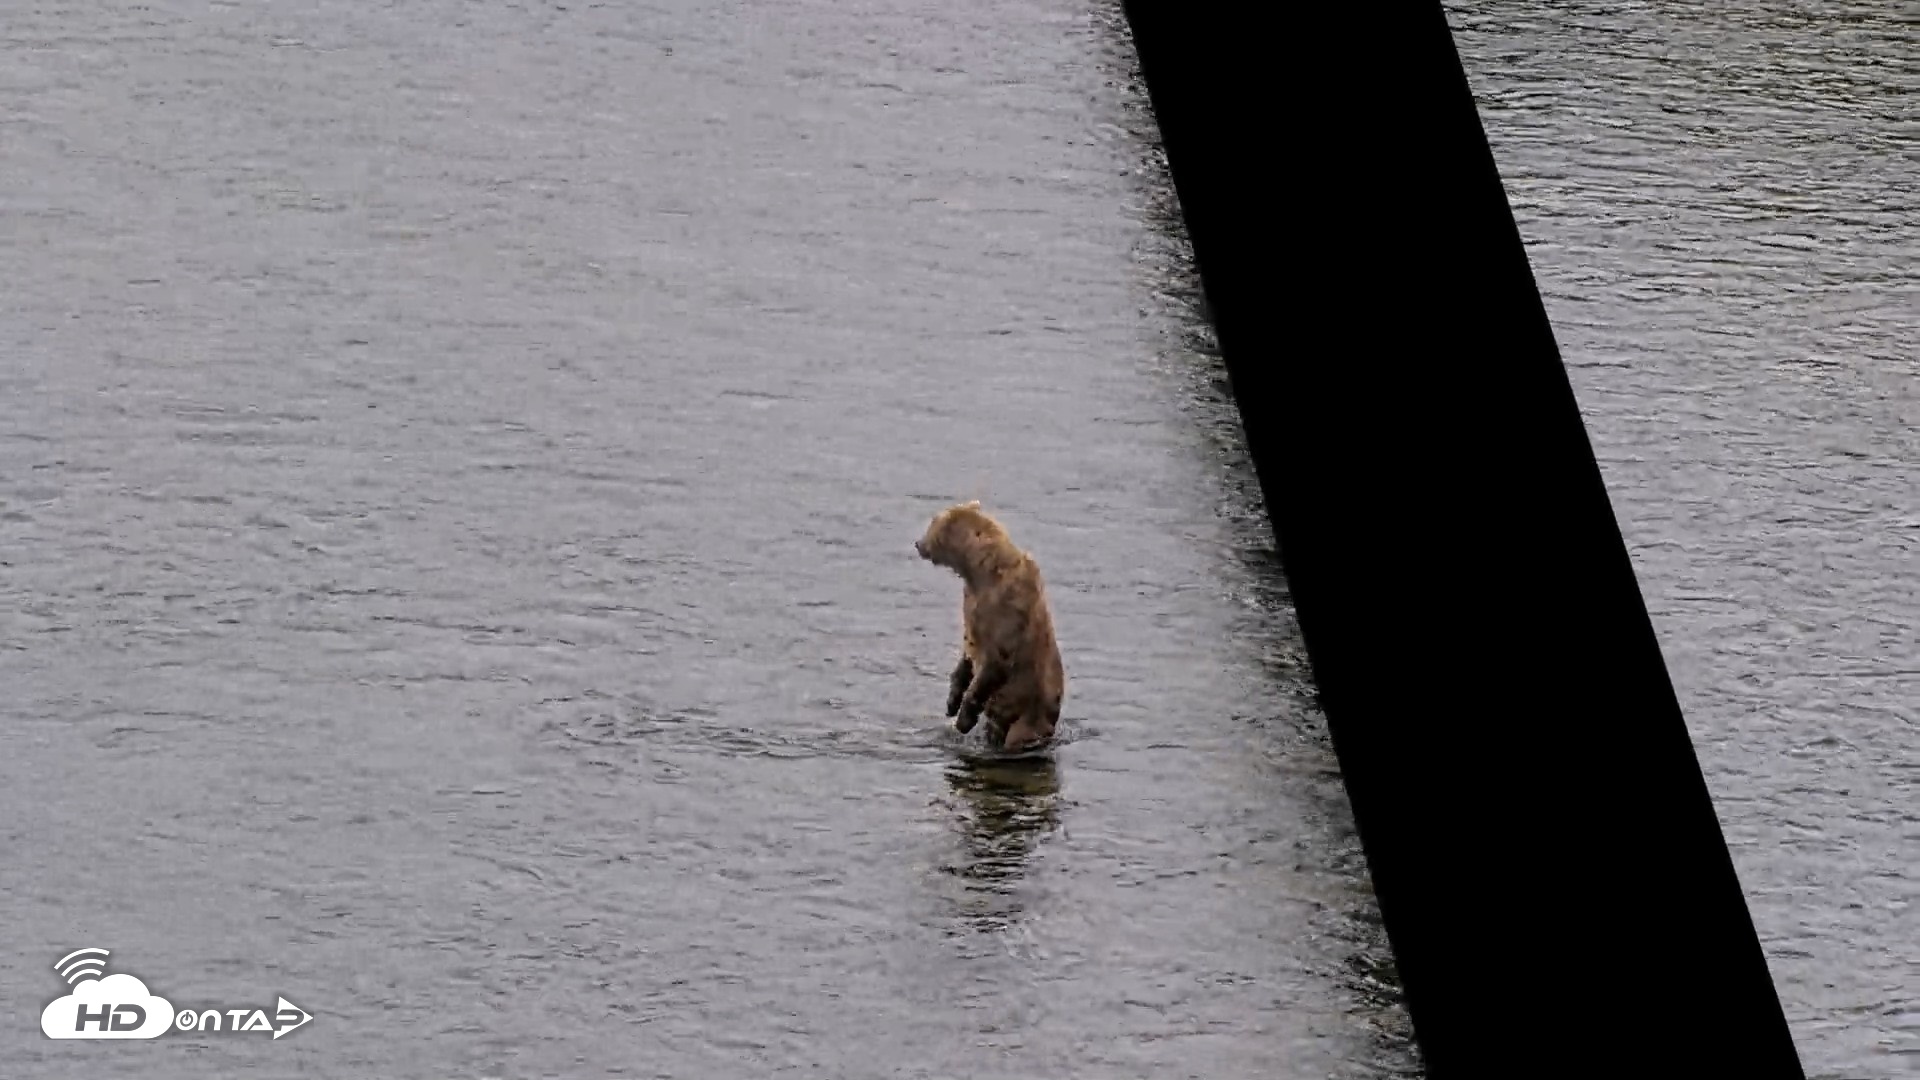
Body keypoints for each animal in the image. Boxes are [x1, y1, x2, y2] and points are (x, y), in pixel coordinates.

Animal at [914, 500, 1065, 753]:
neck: (979, 574)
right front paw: (951, 702)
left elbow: (993, 664)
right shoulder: (972, 608)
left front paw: (963, 719)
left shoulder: (1007, 614)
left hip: (1030, 716)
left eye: (933, 522)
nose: (918, 543)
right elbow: (966, 657)